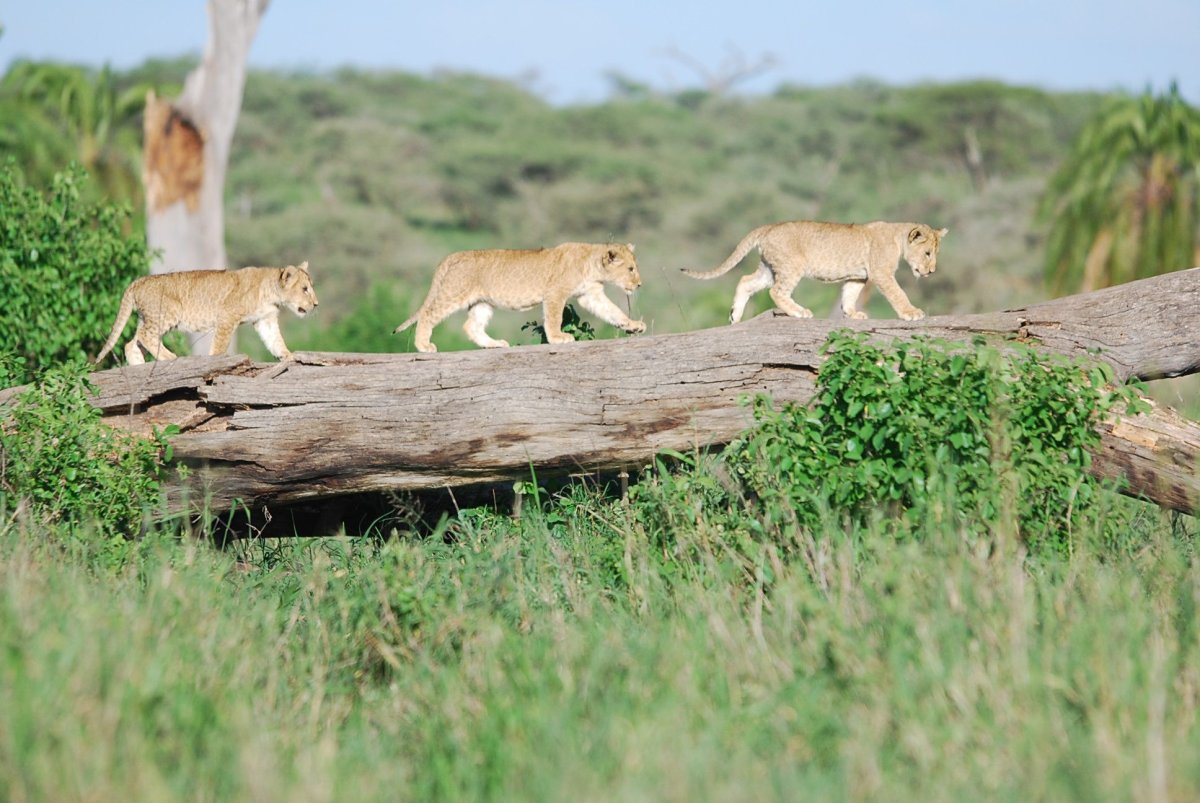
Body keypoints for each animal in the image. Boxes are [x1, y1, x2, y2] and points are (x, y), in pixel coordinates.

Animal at [93, 262, 318, 365]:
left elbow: (275, 341)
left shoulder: (265, 320)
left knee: (131, 343)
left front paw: (288, 356)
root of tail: (138, 281)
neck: (271, 292)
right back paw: (169, 357)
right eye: (305, 289)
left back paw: (138, 365)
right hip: (167, 314)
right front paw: (215, 361)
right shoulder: (227, 316)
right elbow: (220, 345)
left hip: (146, 318)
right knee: (145, 336)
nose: (316, 304)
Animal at [393, 242, 646, 352]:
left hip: (482, 302)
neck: (592, 265)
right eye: (631, 269)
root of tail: (454, 255)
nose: (639, 284)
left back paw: (495, 344)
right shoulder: (555, 292)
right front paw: (558, 338)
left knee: (471, 327)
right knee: (428, 314)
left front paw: (633, 325)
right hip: (453, 293)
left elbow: (613, 312)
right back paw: (424, 346)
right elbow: (553, 318)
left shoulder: (590, 295)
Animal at [683, 221, 948, 323]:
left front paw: (852, 314)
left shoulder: (858, 276)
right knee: (777, 292)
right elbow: (898, 294)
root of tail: (770, 226)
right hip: (791, 267)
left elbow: (849, 295)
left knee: (745, 281)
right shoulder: (881, 273)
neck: (897, 237)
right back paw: (799, 312)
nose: (932, 271)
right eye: (927, 254)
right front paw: (911, 313)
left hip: (769, 268)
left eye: (936, 253)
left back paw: (734, 317)